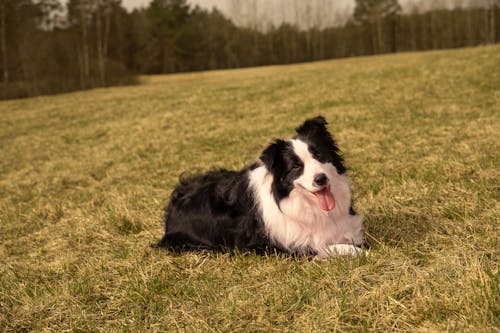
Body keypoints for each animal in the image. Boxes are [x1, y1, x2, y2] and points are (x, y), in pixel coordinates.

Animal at [159, 115, 364, 258]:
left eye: (319, 155)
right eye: (296, 167)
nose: (321, 179)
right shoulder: (281, 247)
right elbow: (330, 248)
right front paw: (359, 253)